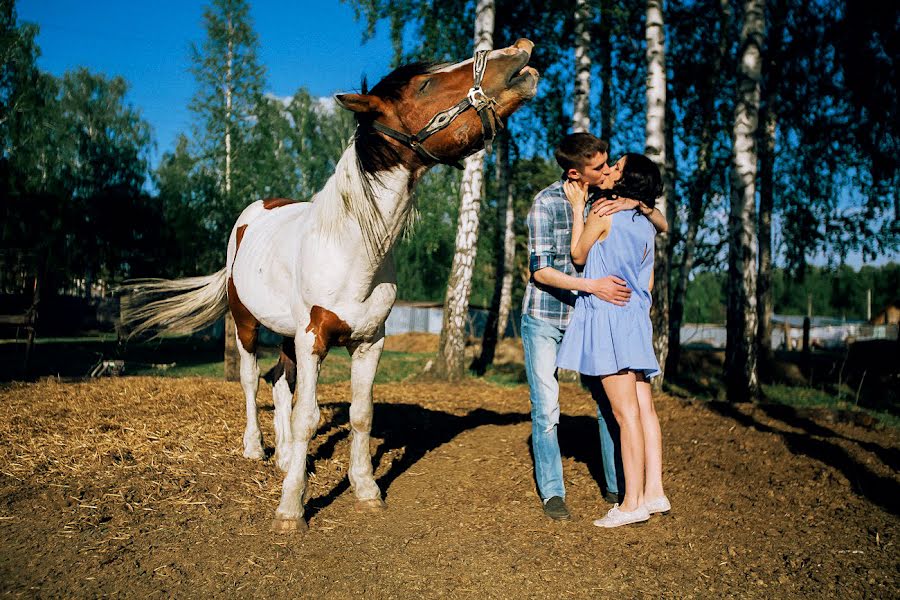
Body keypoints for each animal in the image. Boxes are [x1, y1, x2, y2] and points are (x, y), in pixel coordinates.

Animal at [122, 39, 536, 532]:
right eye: (424, 85)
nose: (519, 53)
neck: (353, 250)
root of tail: (252, 214)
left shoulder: (369, 341)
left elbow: (359, 414)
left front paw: (365, 488)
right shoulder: (312, 338)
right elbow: (308, 416)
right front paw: (291, 508)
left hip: (285, 335)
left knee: (278, 382)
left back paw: (286, 458)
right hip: (247, 326)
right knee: (251, 381)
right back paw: (256, 449)